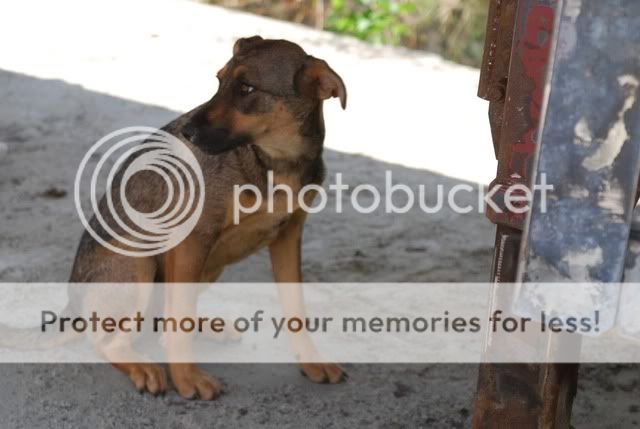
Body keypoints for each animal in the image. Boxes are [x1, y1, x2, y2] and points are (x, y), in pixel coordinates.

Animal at [68, 36, 348, 398]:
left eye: (246, 88)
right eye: (219, 81)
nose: (186, 132)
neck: (275, 161)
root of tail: (71, 309)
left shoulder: (289, 236)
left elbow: (296, 309)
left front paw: (311, 360)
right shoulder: (194, 238)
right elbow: (181, 316)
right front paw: (187, 379)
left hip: (210, 267)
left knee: (161, 320)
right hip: (140, 263)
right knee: (110, 340)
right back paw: (143, 366)